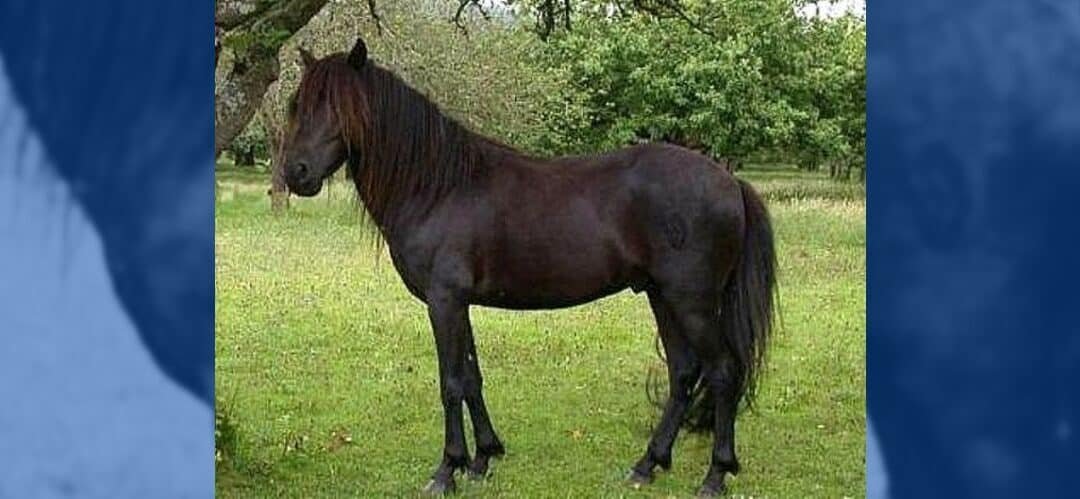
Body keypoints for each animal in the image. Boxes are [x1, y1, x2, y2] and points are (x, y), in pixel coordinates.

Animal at [282, 37, 777, 497]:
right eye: (297, 105)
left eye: (338, 107)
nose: (295, 173)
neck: (437, 187)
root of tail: (729, 180)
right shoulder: (460, 304)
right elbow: (472, 378)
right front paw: (484, 458)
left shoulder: (444, 301)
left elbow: (451, 382)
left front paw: (447, 469)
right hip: (662, 296)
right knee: (683, 372)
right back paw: (647, 465)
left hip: (691, 301)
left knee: (722, 372)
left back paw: (715, 475)